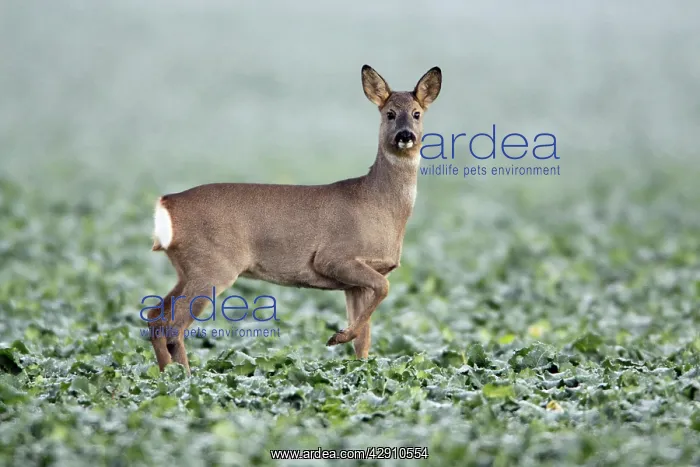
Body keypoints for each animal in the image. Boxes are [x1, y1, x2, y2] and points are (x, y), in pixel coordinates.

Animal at [147, 65, 442, 373]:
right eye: (389, 113)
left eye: (417, 113)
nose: (405, 135)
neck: (379, 204)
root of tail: (166, 204)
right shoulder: (334, 258)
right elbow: (384, 290)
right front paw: (337, 336)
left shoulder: (356, 283)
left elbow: (364, 341)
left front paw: (358, 365)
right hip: (211, 266)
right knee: (174, 326)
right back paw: (185, 377)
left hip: (187, 269)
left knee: (155, 318)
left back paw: (167, 376)